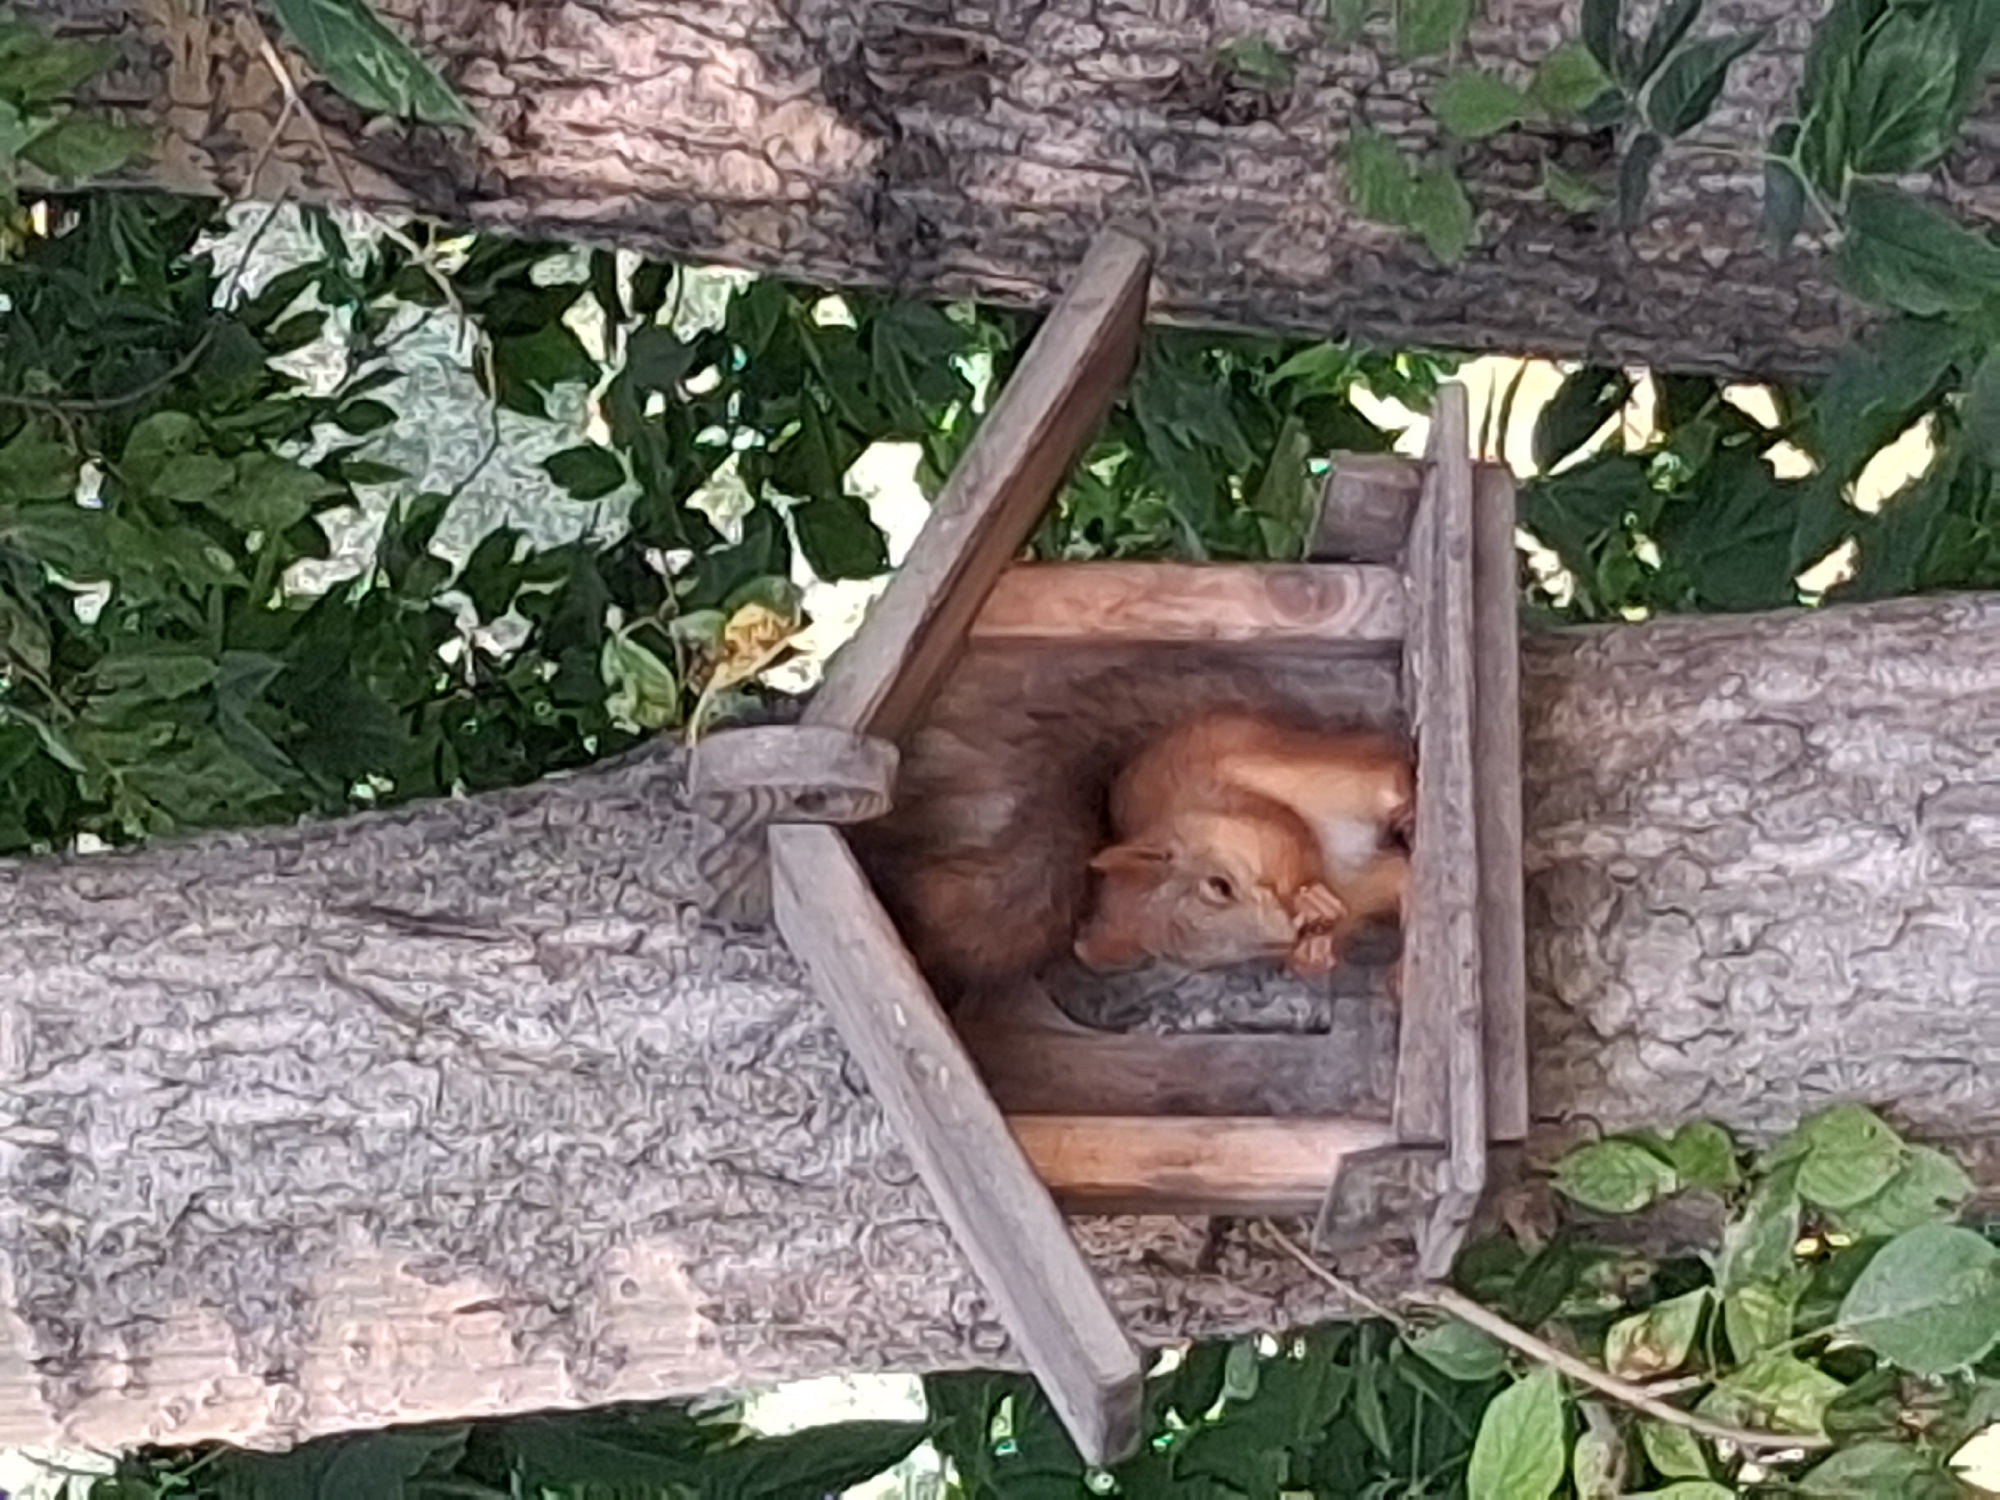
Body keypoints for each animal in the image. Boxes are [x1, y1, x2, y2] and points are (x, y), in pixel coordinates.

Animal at [1071, 711, 1414, 981]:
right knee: (1399, 877)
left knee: (1387, 769)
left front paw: (1311, 901)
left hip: (1300, 765)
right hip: (1367, 879)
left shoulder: (1248, 815)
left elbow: (1289, 838)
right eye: (1224, 959)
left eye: (1219, 886)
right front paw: (1311, 950)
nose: (1289, 936)